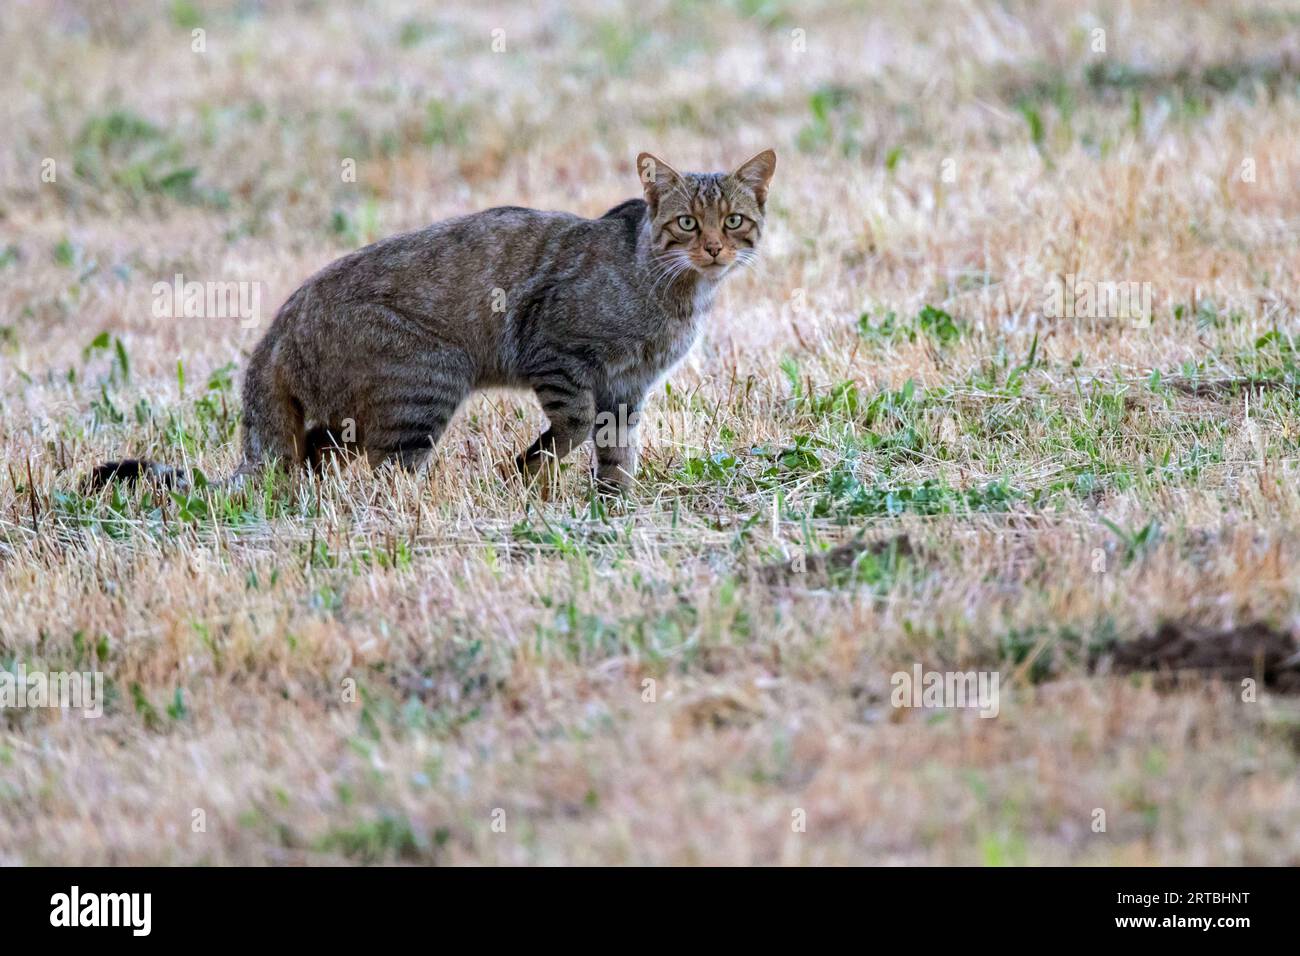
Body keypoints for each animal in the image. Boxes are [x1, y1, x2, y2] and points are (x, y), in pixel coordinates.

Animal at [94, 150, 780, 496]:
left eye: (734, 220)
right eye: (687, 223)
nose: (714, 247)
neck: (677, 295)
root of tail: (278, 325)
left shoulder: (627, 391)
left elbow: (616, 453)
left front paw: (612, 506)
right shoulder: (556, 355)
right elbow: (576, 425)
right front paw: (527, 469)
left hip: (357, 414)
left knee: (311, 455)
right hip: (427, 380)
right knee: (386, 477)